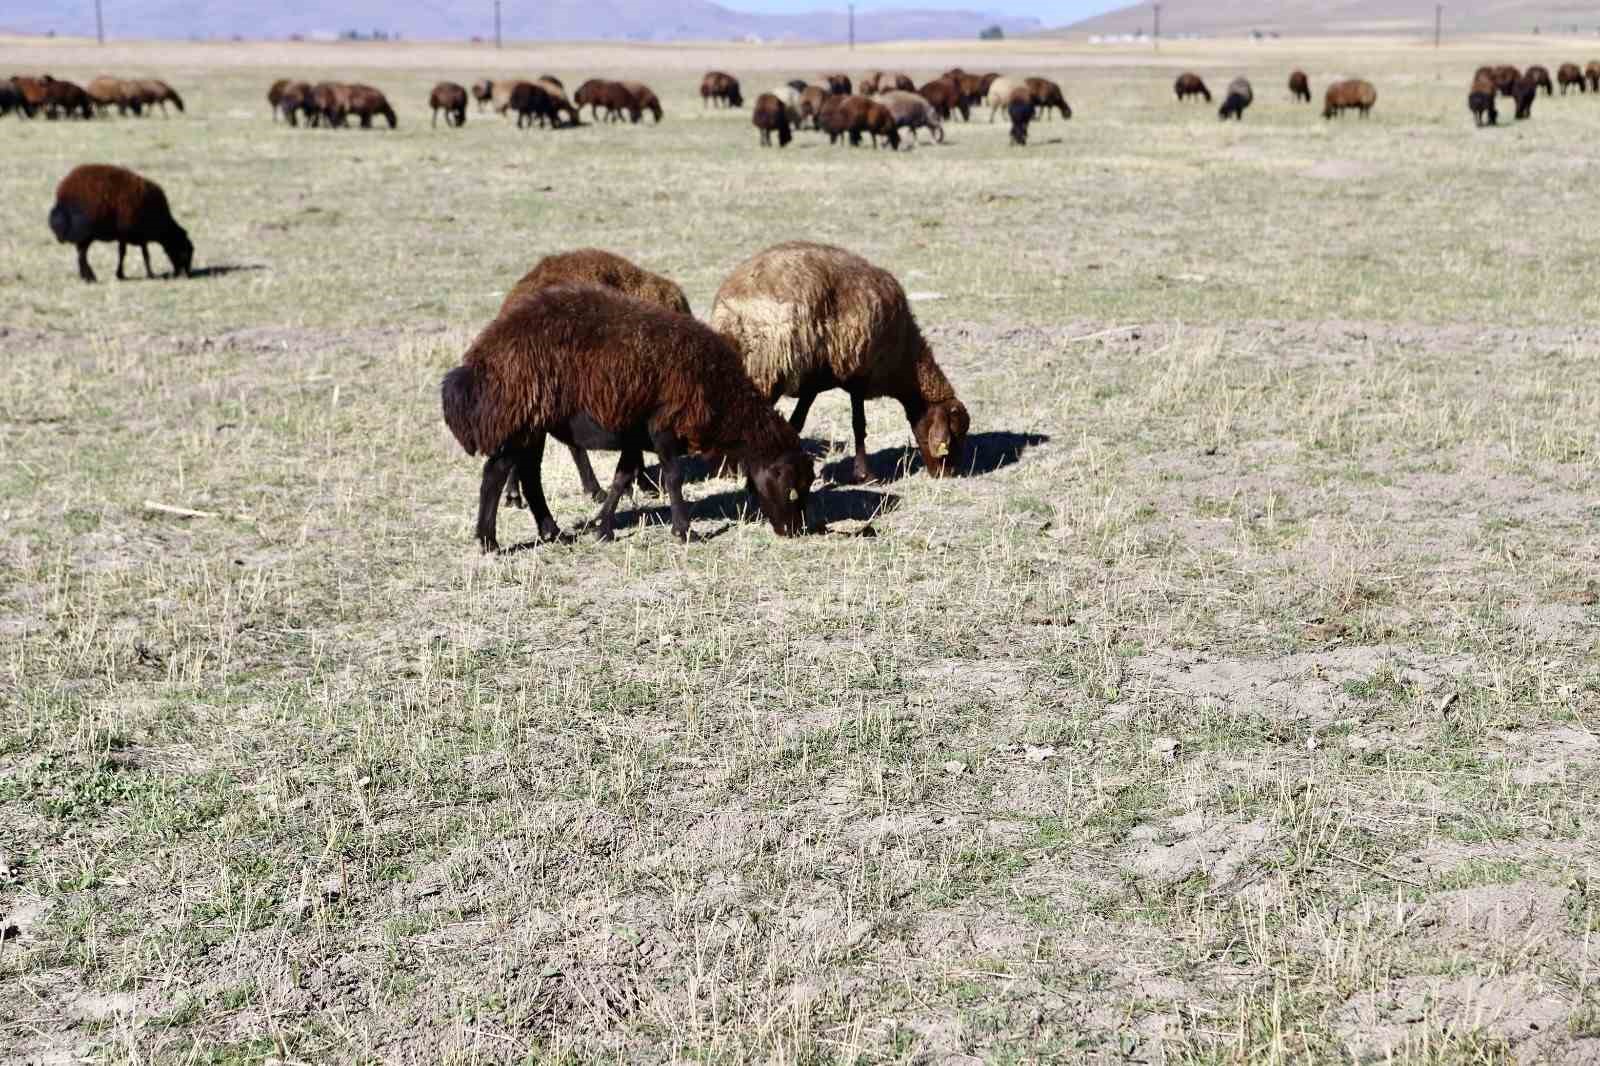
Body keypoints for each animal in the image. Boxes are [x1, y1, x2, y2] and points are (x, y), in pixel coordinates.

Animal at [48, 163, 193, 281]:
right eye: (184, 251)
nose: (186, 275)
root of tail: (62, 201)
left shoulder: (133, 236)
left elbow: (134, 253)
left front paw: (123, 274)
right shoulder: (132, 233)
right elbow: (137, 254)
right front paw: (147, 274)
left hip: (84, 236)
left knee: (80, 255)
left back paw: (86, 277)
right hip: (86, 234)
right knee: (82, 255)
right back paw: (90, 278)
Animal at [438, 281, 812, 547]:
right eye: (792, 488)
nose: (795, 532)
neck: (721, 395)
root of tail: (480, 359)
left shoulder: (635, 433)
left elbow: (622, 477)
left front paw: (603, 529)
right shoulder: (663, 425)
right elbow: (673, 477)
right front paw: (684, 532)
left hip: (533, 426)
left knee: (529, 476)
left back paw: (553, 532)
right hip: (521, 420)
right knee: (495, 474)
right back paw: (489, 541)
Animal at [716, 243, 966, 480]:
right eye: (954, 436)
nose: (948, 473)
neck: (904, 358)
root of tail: (734, 310)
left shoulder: (813, 382)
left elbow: (797, 422)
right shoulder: (859, 374)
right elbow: (859, 425)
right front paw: (865, 475)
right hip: (767, 370)